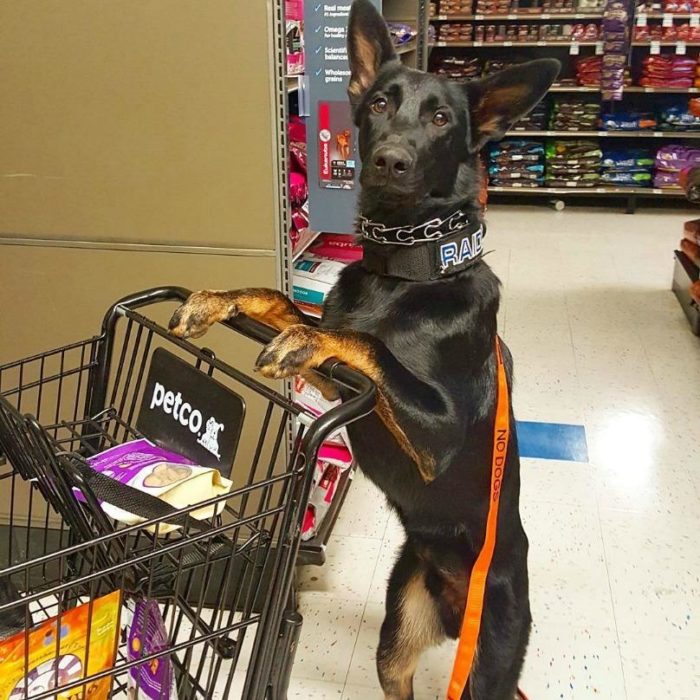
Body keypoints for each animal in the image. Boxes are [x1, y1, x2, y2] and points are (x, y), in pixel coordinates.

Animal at [172, 2, 560, 696]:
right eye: (379, 103)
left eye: (440, 118)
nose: (389, 160)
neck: (405, 269)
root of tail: (457, 605)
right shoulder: (338, 383)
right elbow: (280, 299)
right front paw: (221, 299)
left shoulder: (437, 436)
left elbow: (366, 343)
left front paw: (308, 332)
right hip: (396, 636)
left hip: (490, 658)